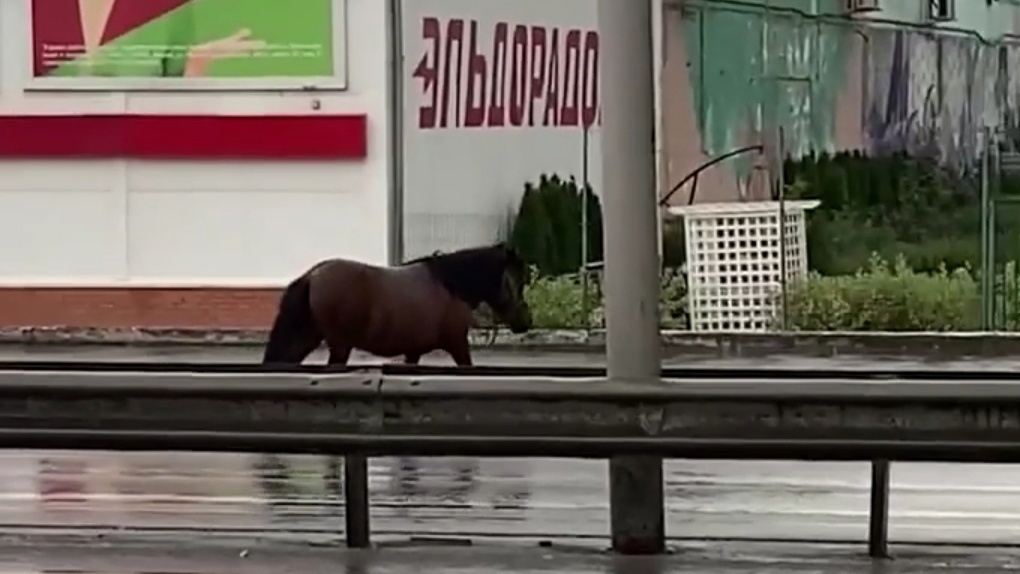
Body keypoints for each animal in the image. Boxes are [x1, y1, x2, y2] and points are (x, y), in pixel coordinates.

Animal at [263, 242, 534, 369]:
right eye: (515, 281)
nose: (525, 321)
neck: (450, 286)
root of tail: (312, 276)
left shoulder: (414, 351)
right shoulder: (457, 344)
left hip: (308, 337)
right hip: (339, 345)